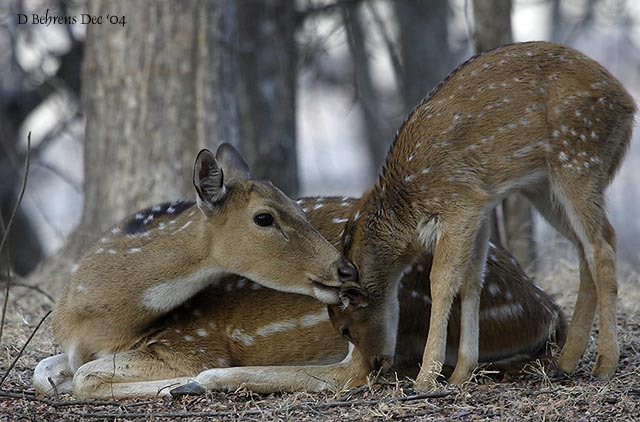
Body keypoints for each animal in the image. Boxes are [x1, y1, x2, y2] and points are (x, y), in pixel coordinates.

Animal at [35, 196, 564, 398]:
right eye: (267, 217)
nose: (341, 268)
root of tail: (542, 305)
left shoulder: (193, 340)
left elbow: (84, 377)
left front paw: (174, 385)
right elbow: (46, 371)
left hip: (395, 294)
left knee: (355, 372)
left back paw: (201, 384)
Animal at [330, 40, 636, 390]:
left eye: (345, 328)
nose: (375, 366)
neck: (406, 207)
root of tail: (629, 104)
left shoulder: (460, 201)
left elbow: (442, 280)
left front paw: (427, 377)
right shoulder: (481, 209)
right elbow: (472, 281)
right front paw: (462, 373)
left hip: (578, 157)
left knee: (603, 246)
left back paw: (605, 364)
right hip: (545, 187)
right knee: (588, 248)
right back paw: (567, 362)